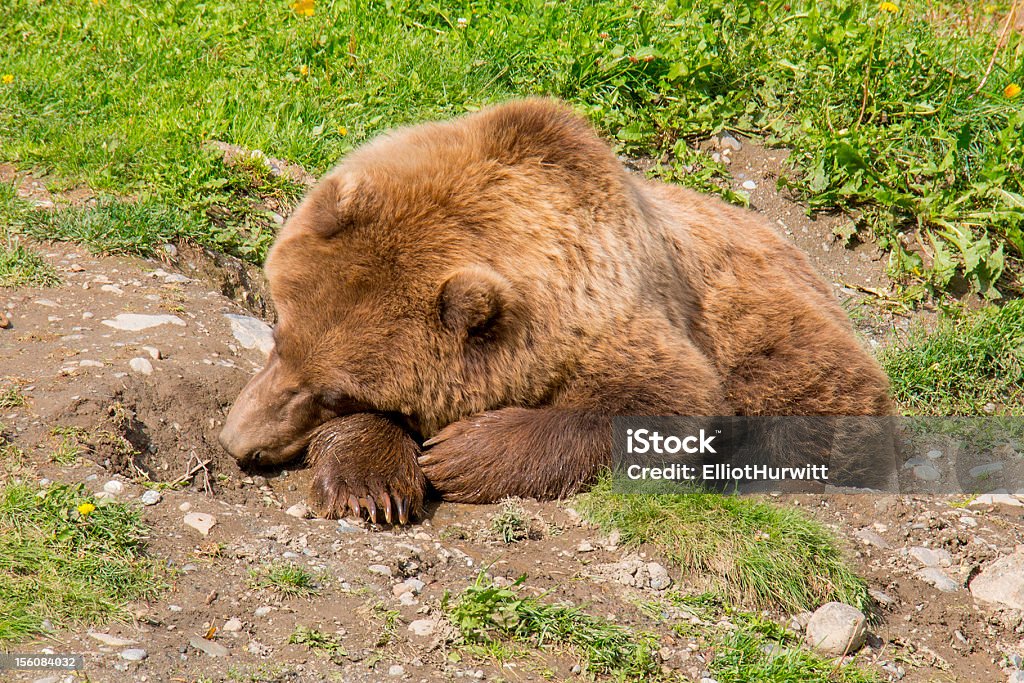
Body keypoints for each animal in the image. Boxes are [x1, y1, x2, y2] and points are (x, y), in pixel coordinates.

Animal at [220, 97, 892, 524]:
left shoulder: (617, 319)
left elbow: (664, 403)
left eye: (334, 393)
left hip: (788, 347)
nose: (237, 441)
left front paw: (456, 455)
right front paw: (371, 483)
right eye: (279, 335)